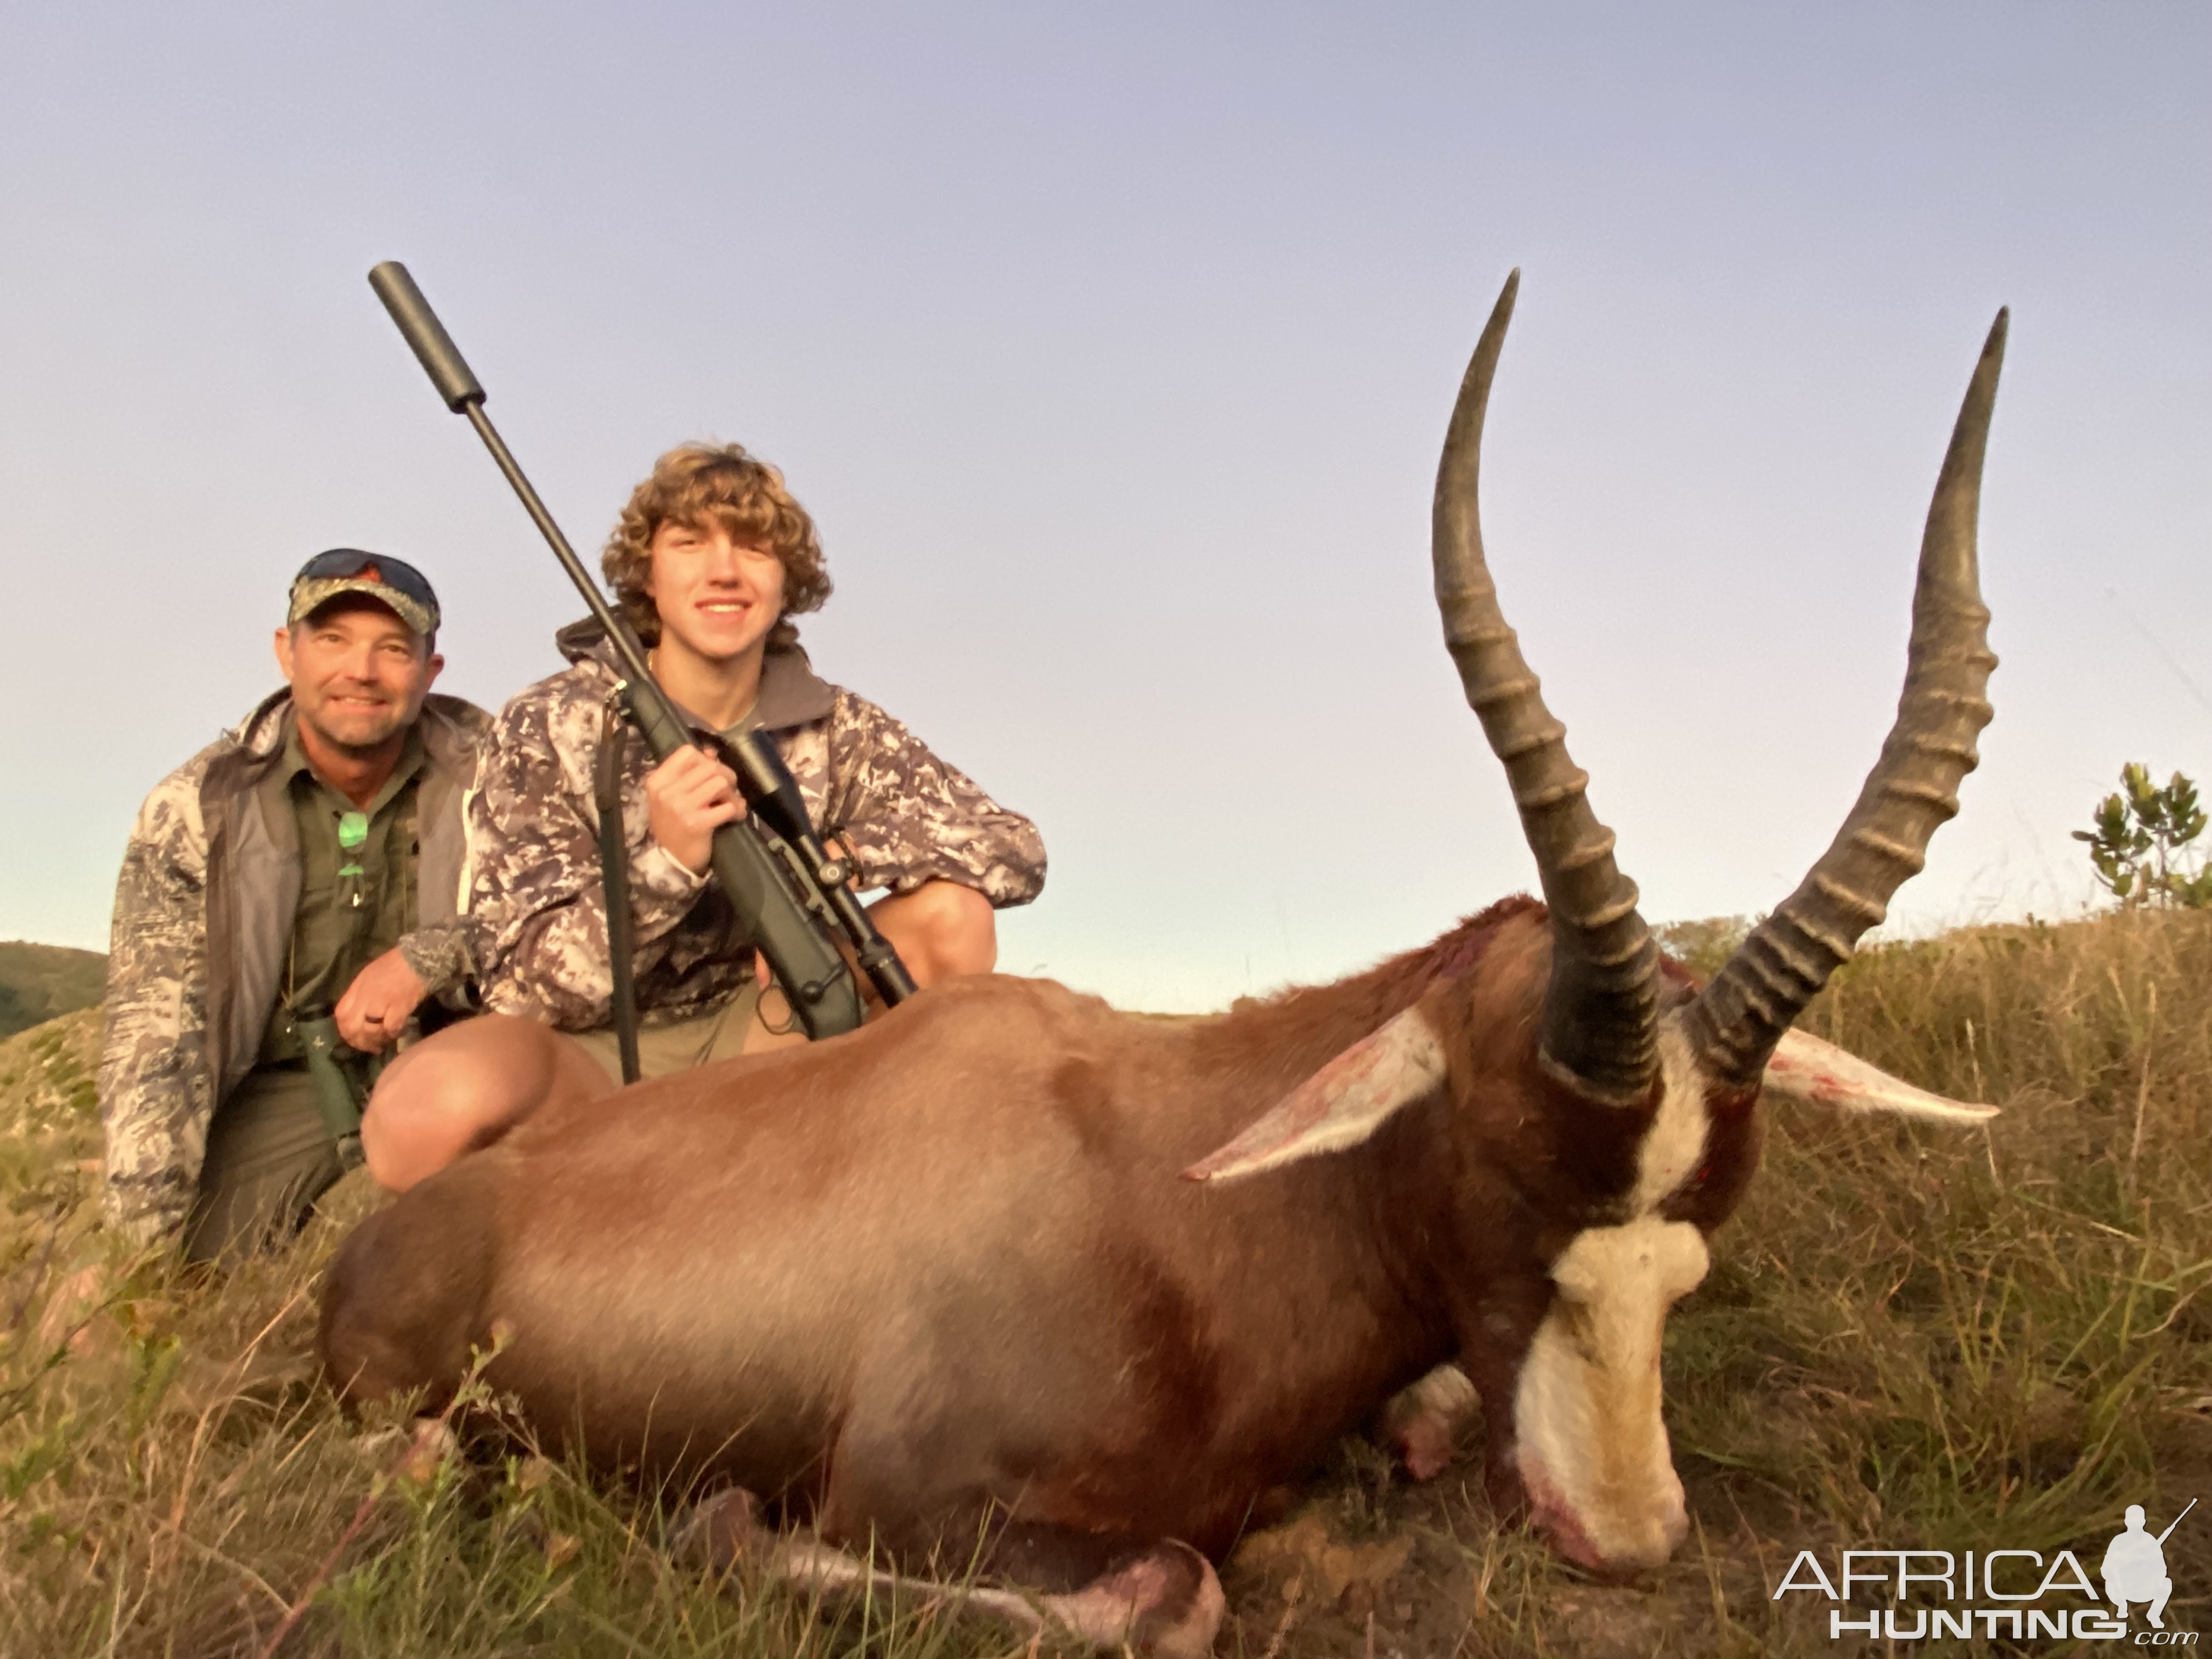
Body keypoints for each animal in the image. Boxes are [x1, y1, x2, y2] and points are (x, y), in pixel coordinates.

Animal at [323, 280, 2008, 1654]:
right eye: (1508, 1164)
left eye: (1703, 1225)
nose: (1627, 1539)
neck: (1176, 1195)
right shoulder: (910, 1500)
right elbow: (1173, 1592)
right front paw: (718, 1524)